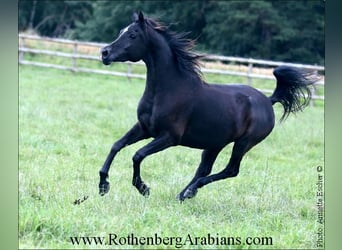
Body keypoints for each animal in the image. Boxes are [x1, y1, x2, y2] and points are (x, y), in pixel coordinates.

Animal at [98, 11, 318, 201]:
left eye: (133, 34)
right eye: (121, 31)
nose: (104, 53)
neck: (168, 89)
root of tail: (268, 101)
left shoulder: (169, 137)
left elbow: (137, 155)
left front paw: (143, 188)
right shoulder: (144, 128)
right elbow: (116, 145)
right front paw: (103, 185)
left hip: (243, 143)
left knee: (231, 170)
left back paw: (189, 192)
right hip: (215, 144)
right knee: (205, 169)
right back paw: (184, 194)